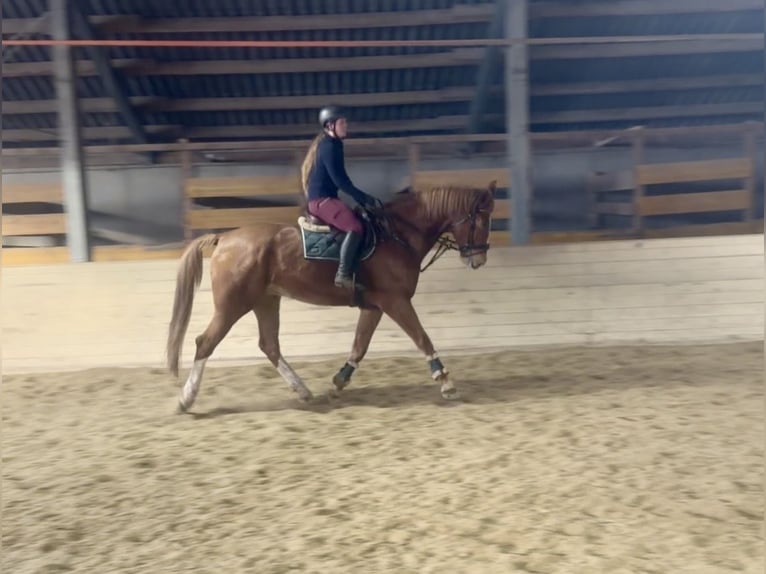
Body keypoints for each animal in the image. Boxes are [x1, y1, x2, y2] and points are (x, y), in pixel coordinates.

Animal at [165, 180, 497, 413]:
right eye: (481, 219)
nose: (478, 259)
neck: (399, 235)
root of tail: (225, 238)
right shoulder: (396, 301)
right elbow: (421, 337)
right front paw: (446, 382)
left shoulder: (375, 306)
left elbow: (359, 346)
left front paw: (339, 382)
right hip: (233, 305)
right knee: (205, 343)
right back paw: (186, 399)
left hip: (265, 301)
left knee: (269, 345)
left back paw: (303, 391)